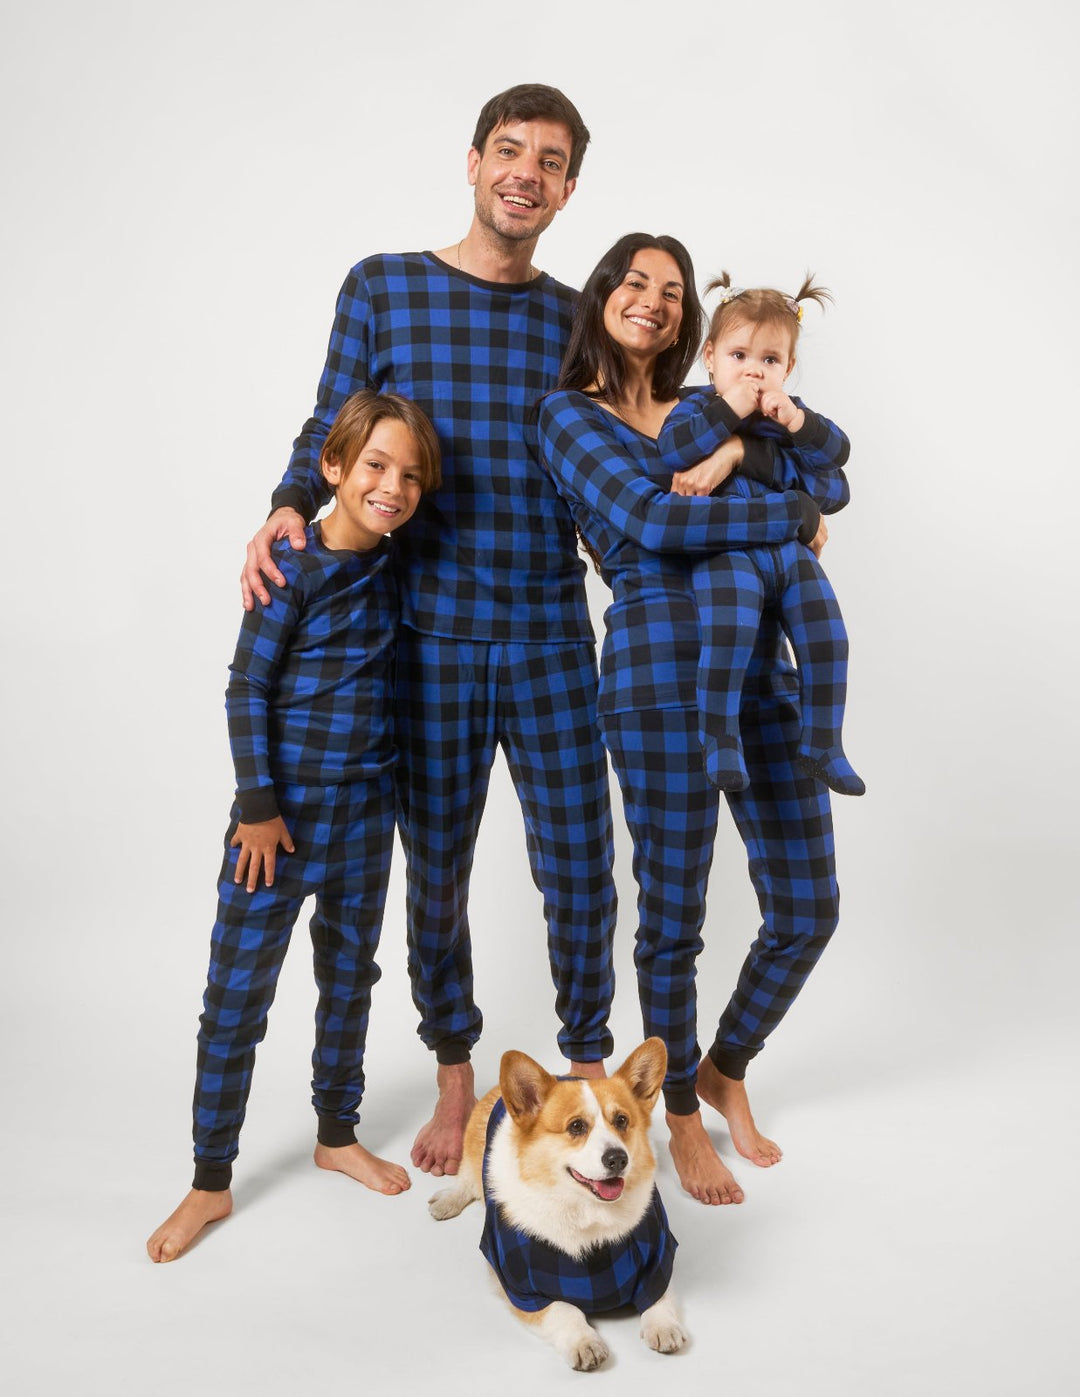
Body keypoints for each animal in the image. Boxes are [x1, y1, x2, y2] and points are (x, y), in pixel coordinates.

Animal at [427, 1044, 687, 1369]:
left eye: (622, 1121)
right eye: (576, 1126)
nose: (618, 1159)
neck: (586, 1211)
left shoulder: (659, 1256)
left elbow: (659, 1297)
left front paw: (664, 1328)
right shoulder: (520, 1287)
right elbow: (565, 1311)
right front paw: (584, 1343)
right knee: (466, 1179)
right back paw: (447, 1201)